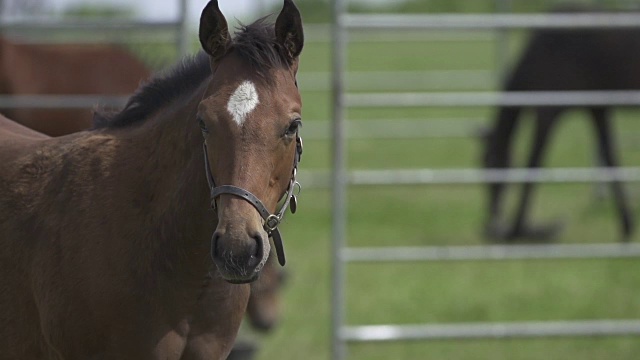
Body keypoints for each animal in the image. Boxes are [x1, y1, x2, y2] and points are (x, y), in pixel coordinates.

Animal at [482, 7, 636, 242]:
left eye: (489, 164)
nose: (492, 224)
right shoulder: (597, 108)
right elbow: (611, 157)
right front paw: (626, 226)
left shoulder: (547, 112)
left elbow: (533, 164)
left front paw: (518, 230)